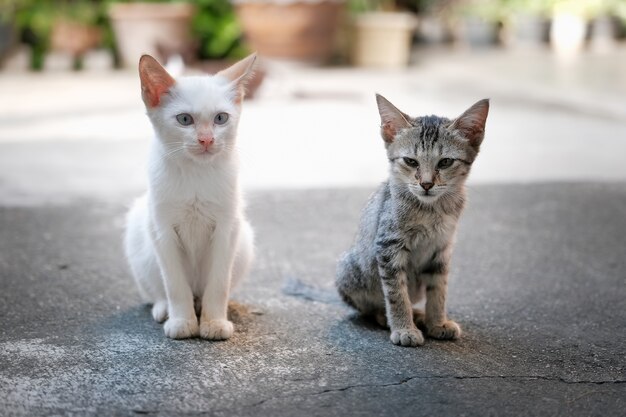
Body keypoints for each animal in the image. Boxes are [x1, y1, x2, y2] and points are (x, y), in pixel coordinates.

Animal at [124, 52, 256, 338]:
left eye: (221, 118)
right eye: (184, 119)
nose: (206, 140)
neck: (196, 172)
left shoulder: (228, 227)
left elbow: (219, 283)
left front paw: (214, 322)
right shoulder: (161, 229)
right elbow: (174, 284)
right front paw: (182, 322)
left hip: (245, 240)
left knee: (208, 291)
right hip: (138, 230)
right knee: (159, 290)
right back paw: (164, 309)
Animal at [336, 96, 488, 346]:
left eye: (445, 162)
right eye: (411, 161)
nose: (426, 184)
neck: (431, 210)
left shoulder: (442, 248)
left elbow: (438, 290)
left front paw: (437, 322)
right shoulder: (388, 246)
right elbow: (396, 293)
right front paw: (403, 328)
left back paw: (420, 315)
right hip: (349, 271)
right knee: (368, 308)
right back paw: (389, 317)